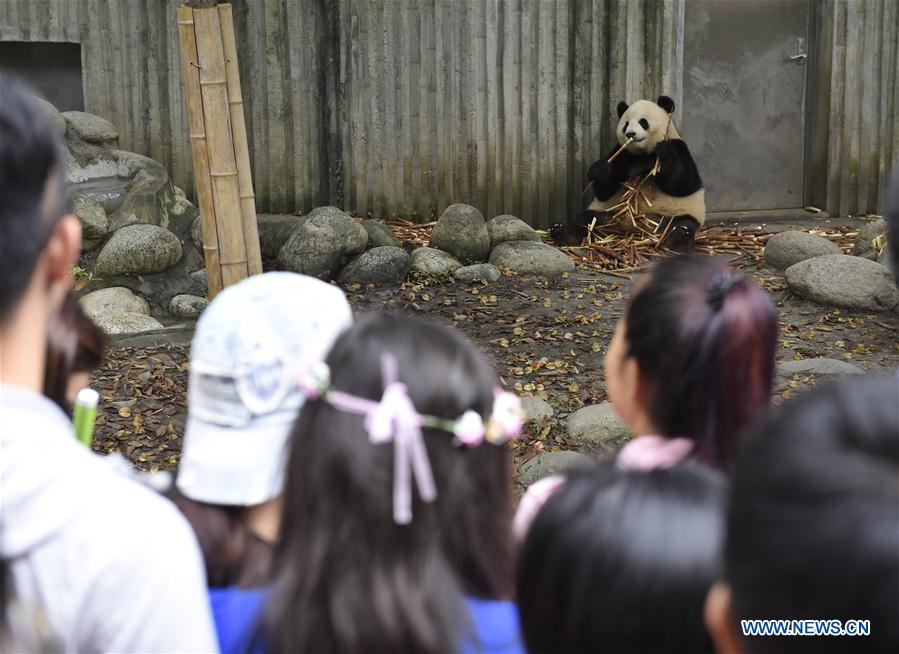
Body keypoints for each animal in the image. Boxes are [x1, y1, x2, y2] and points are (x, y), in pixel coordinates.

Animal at [552, 96, 708, 252]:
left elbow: (684, 184)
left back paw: (676, 240)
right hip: (612, 214)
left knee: (683, 224)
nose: (630, 134)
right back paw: (563, 233)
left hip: (673, 214)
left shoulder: (679, 146)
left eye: (643, 122)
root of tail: (634, 229)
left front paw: (665, 153)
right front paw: (600, 170)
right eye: (626, 124)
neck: (643, 152)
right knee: (587, 219)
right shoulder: (623, 153)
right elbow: (605, 191)